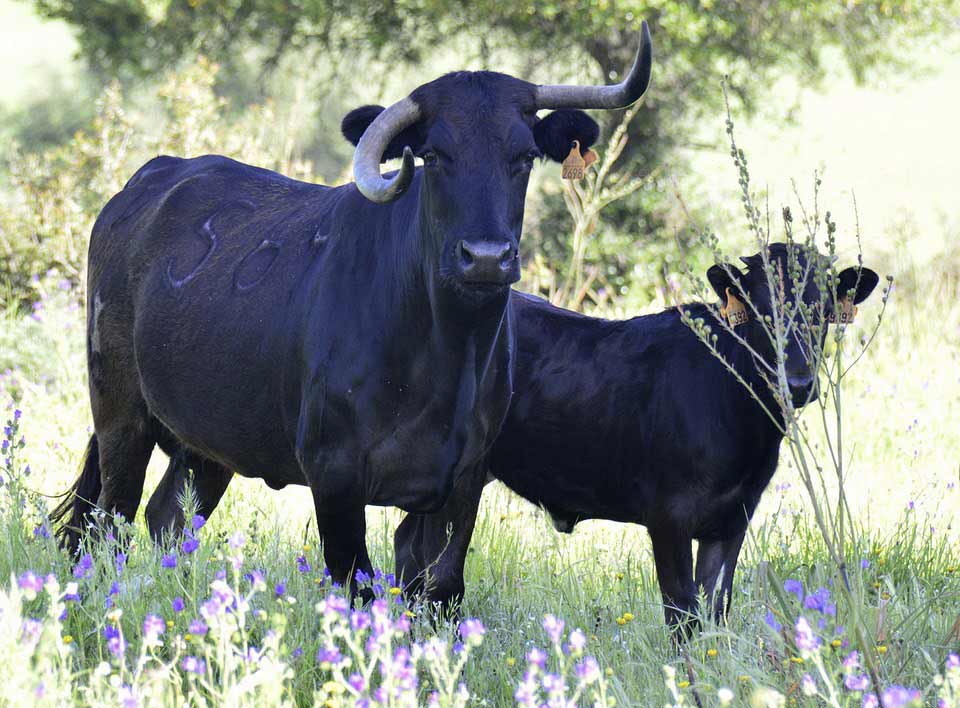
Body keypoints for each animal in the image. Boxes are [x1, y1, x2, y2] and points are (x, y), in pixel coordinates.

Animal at [50, 24, 652, 596]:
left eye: (524, 156)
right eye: (434, 155)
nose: (486, 257)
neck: (443, 359)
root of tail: (148, 181)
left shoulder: (462, 481)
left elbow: (441, 586)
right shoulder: (334, 475)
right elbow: (356, 583)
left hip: (210, 441)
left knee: (168, 517)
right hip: (121, 415)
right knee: (105, 524)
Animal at [394, 243, 880, 624]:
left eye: (823, 312)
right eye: (758, 310)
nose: (796, 383)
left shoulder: (734, 517)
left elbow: (715, 612)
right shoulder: (668, 516)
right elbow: (683, 614)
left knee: (408, 554)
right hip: (459, 480)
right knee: (440, 577)